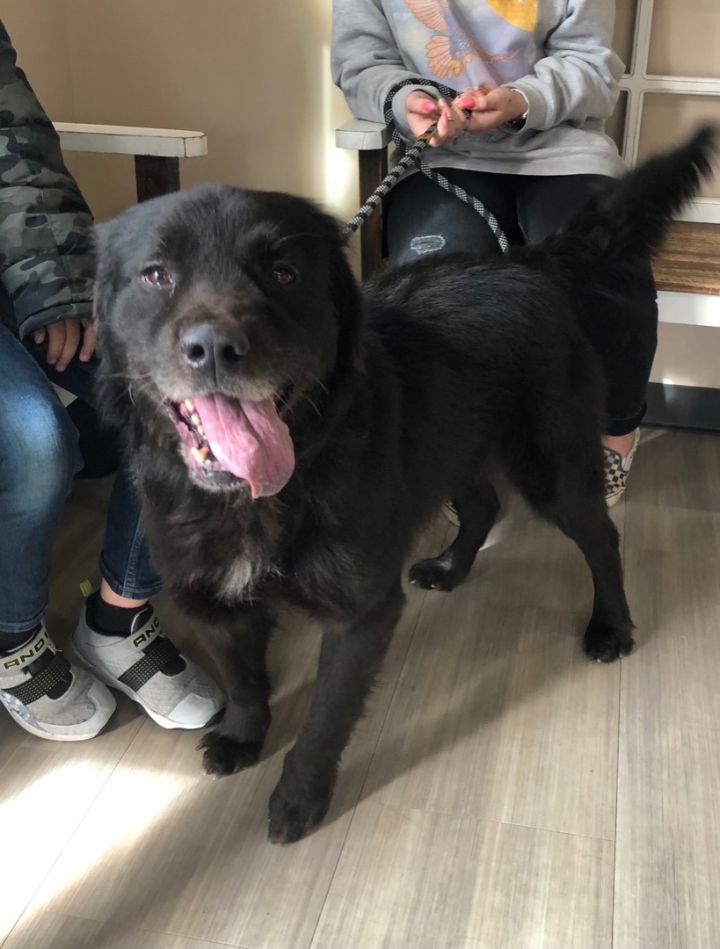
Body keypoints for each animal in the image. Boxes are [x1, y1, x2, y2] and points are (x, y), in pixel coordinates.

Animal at [94, 128, 716, 844]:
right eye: (156, 275)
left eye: (283, 274)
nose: (216, 348)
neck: (267, 491)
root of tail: (528, 261)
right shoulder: (215, 599)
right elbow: (243, 680)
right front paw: (245, 738)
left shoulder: (361, 613)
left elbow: (325, 719)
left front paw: (299, 798)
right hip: (452, 450)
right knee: (483, 505)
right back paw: (450, 568)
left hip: (551, 469)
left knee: (603, 540)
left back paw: (611, 625)